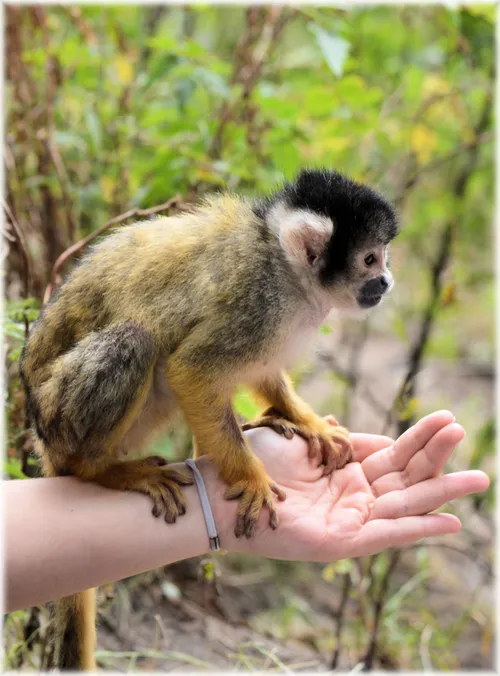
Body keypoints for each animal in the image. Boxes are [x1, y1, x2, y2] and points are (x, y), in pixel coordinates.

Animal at [20, 168, 398, 670]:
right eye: (370, 259)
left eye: (382, 257)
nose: (387, 280)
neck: (284, 267)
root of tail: (40, 434)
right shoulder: (259, 303)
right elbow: (192, 370)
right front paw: (251, 477)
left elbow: (260, 371)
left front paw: (306, 421)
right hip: (60, 417)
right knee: (135, 341)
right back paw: (102, 471)